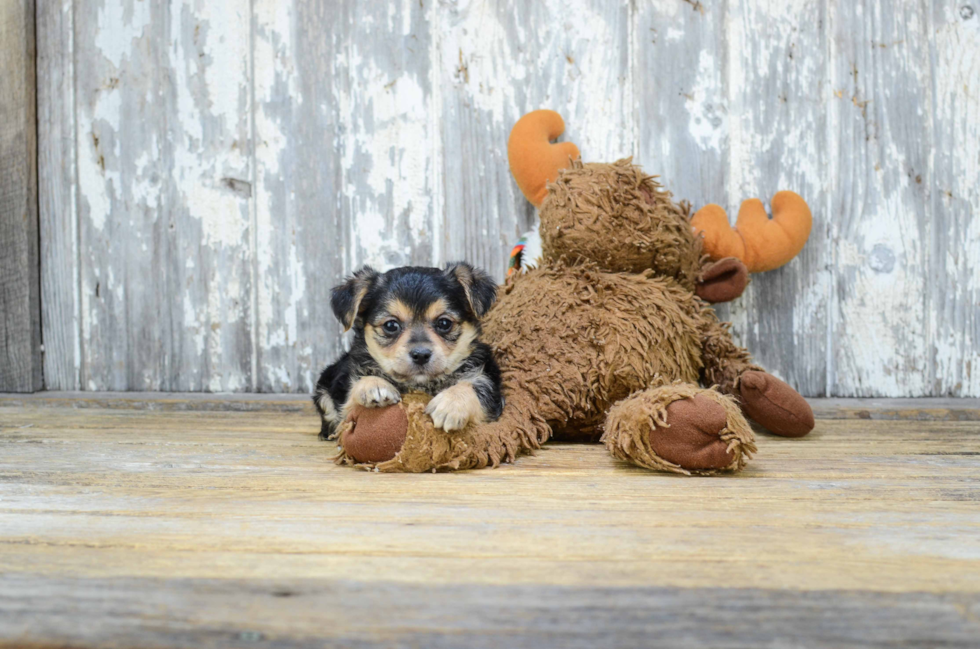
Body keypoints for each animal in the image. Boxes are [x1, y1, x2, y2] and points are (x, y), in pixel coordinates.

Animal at [314, 264, 506, 440]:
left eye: (444, 323)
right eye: (391, 325)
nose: (420, 355)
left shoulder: (490, 388)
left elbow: (476, 385)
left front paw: (451, 404)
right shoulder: (344, 398)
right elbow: (350, 402)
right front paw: (374, 385)